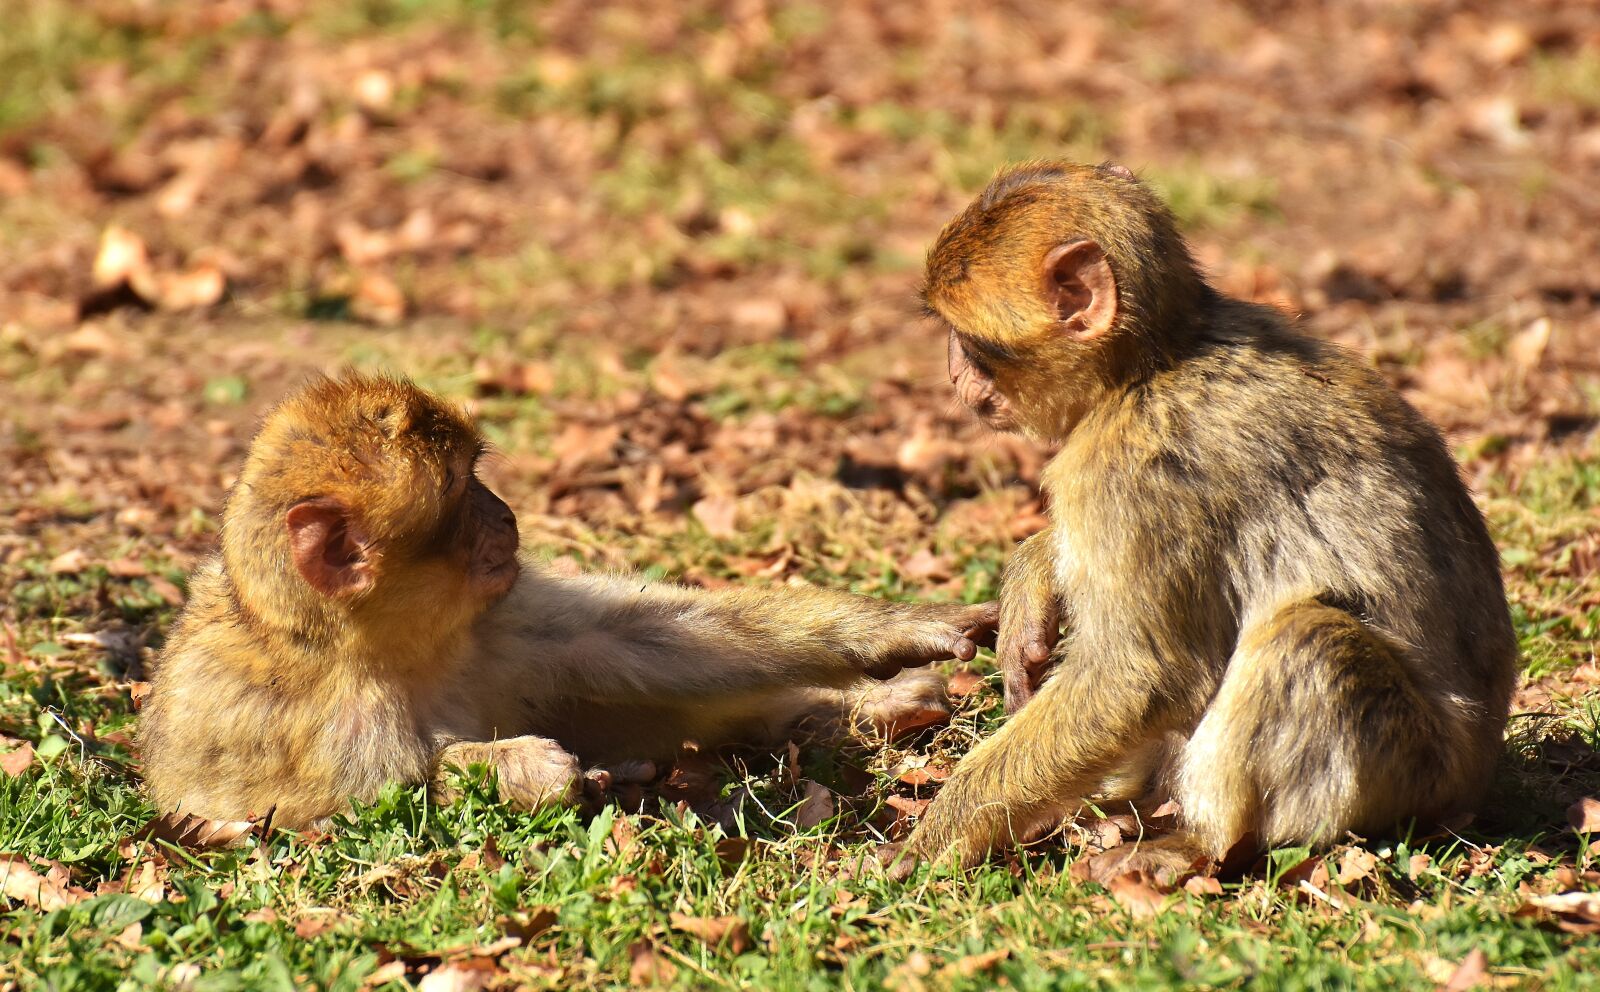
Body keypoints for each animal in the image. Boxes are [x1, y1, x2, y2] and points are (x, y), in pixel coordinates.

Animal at [139, 373, 998, 828]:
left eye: (476, 474)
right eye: (461, 493)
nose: (506, 515)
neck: (378, 645)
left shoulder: (502, 615)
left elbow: (637, 639)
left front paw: (893, 631)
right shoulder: (300, 721)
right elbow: (329, 809)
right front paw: (529, 771)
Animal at [888, 161, 1517, 882]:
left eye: (969, 342)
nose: (951, 373)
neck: (1152, 364)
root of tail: (1476, 776)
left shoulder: (1128, 475)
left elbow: (1140, 679)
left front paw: (939, 832)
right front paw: (1033, 573)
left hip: (1415, 770)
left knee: (1309, 639)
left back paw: (1201, 842)